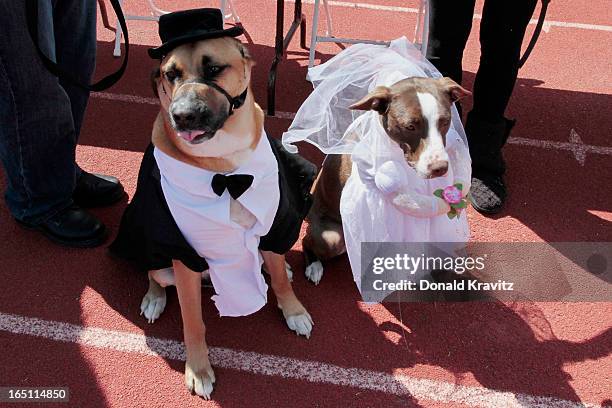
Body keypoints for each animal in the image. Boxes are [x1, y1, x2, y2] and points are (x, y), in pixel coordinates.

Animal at [141, 35, 314, 398]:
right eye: (170, 74)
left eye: (214, 69)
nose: (182, 116)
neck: (224, 169)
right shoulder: (183, 256)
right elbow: (193, 320)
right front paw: (198, 369)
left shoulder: (274, 223)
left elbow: (279, 278)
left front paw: (293, 310)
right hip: (162, 262)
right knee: (154, 273)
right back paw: (153, 298)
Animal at [304, 78, 470, 286]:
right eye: (410, 126)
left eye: (445, 121)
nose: (439, 168)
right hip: (331, 238)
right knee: (307, 241)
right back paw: (314, 266)